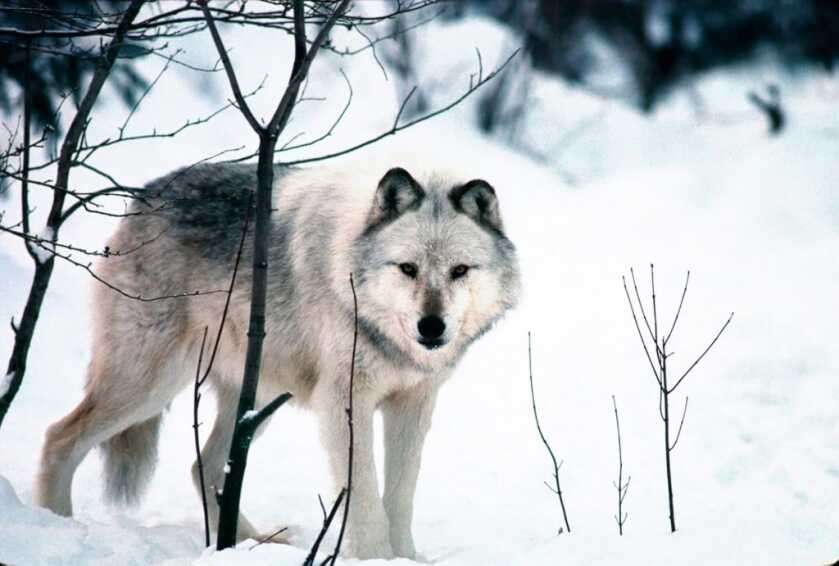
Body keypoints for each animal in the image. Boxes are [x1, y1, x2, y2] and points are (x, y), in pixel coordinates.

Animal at [35, 157, 520, 559]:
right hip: (149, 386)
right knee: (60, 437)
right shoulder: (343, 403)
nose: (431, 327)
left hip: (255, 398)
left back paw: (250, 543)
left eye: (459, 271)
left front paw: (405, 557)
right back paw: (55, 524)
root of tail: (144, 196)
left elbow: (400, 495)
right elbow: (365, 497)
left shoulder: (413, 403)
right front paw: (377, 558)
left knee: (205, 467)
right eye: (407, 269)